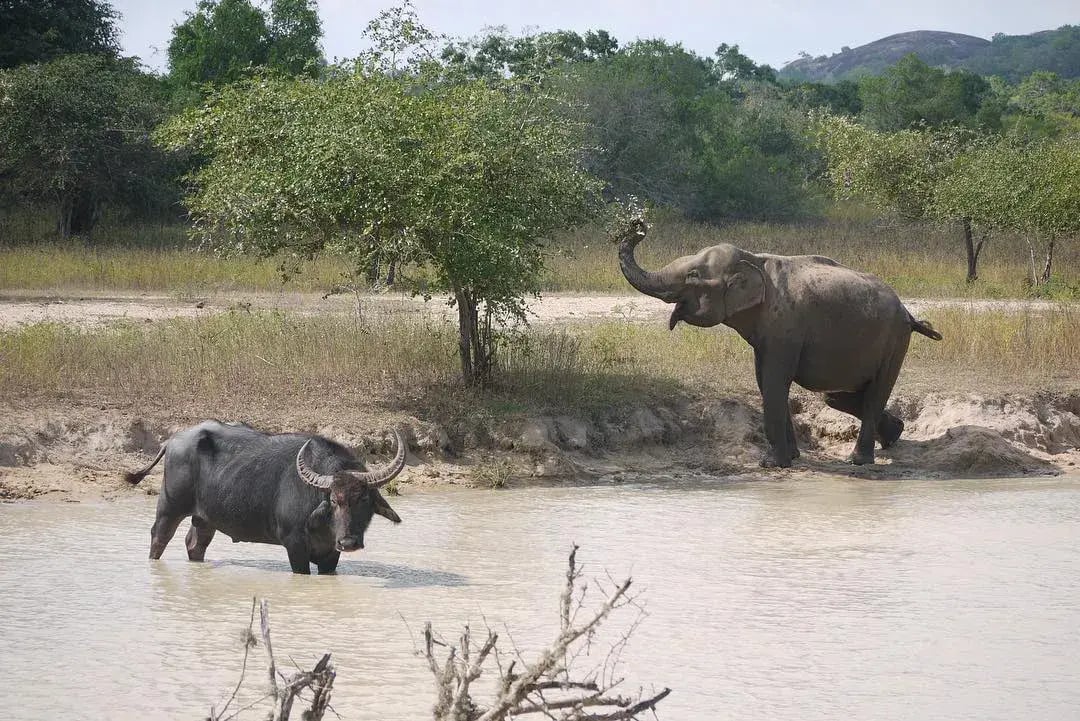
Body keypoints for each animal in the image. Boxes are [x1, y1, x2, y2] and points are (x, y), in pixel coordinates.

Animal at [122, 423, 406, 574]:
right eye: (334, 500)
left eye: (364, 500)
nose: (348, 542)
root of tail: (172, 441)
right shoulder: (295, 547)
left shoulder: (330, 556)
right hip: (169, 508)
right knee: (159, 538)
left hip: (204, 518)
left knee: (195, 544)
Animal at [622, 220, 941, 468]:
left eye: (693, 276)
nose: (638, 224)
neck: (754, 259)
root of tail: (909, 314)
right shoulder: (767, 335)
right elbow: (765, 382)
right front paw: (793, 458)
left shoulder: (785, 328)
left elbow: (775, 382)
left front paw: (772, 464)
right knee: (840, 396)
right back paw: (894, 435)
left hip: (895, 341)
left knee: (875, 392)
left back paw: (858, 461)